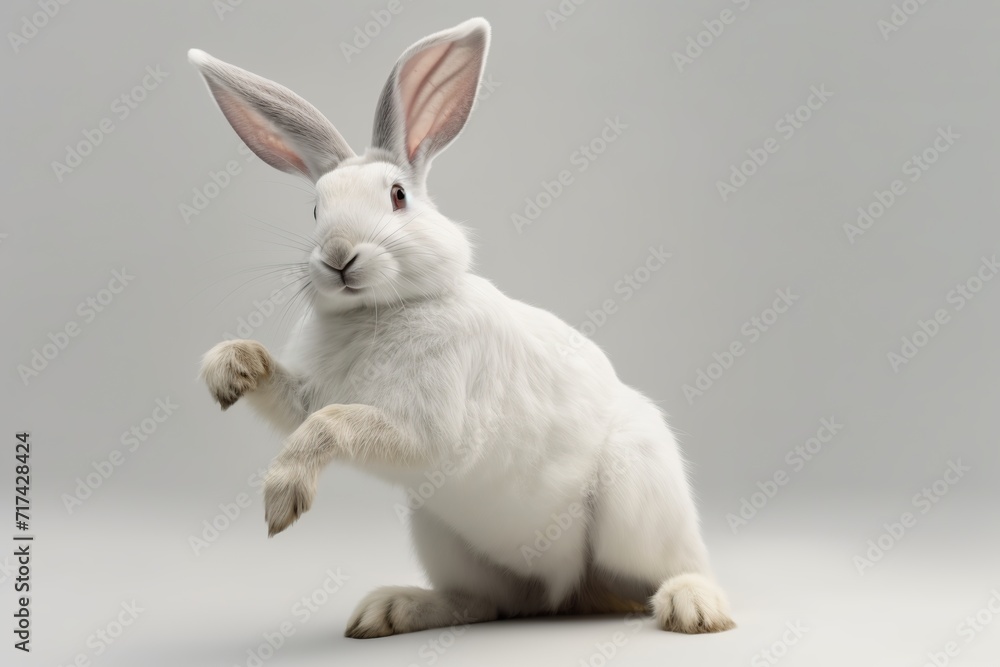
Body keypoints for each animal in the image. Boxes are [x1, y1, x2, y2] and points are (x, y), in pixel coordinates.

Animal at [190, 17, 735, 638]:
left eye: (398, 196)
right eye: (314, 211)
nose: (337, 256)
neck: (381, 310)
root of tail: (568, 593)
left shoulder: (429, 431)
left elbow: (331, 423)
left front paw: (282, 501)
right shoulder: (309, 395)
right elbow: (293, 403)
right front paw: (228, 370)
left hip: (636, 498)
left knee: (672, 569)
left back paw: (693, 608)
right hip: (444, 535)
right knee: (488, 603)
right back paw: (390, 610)